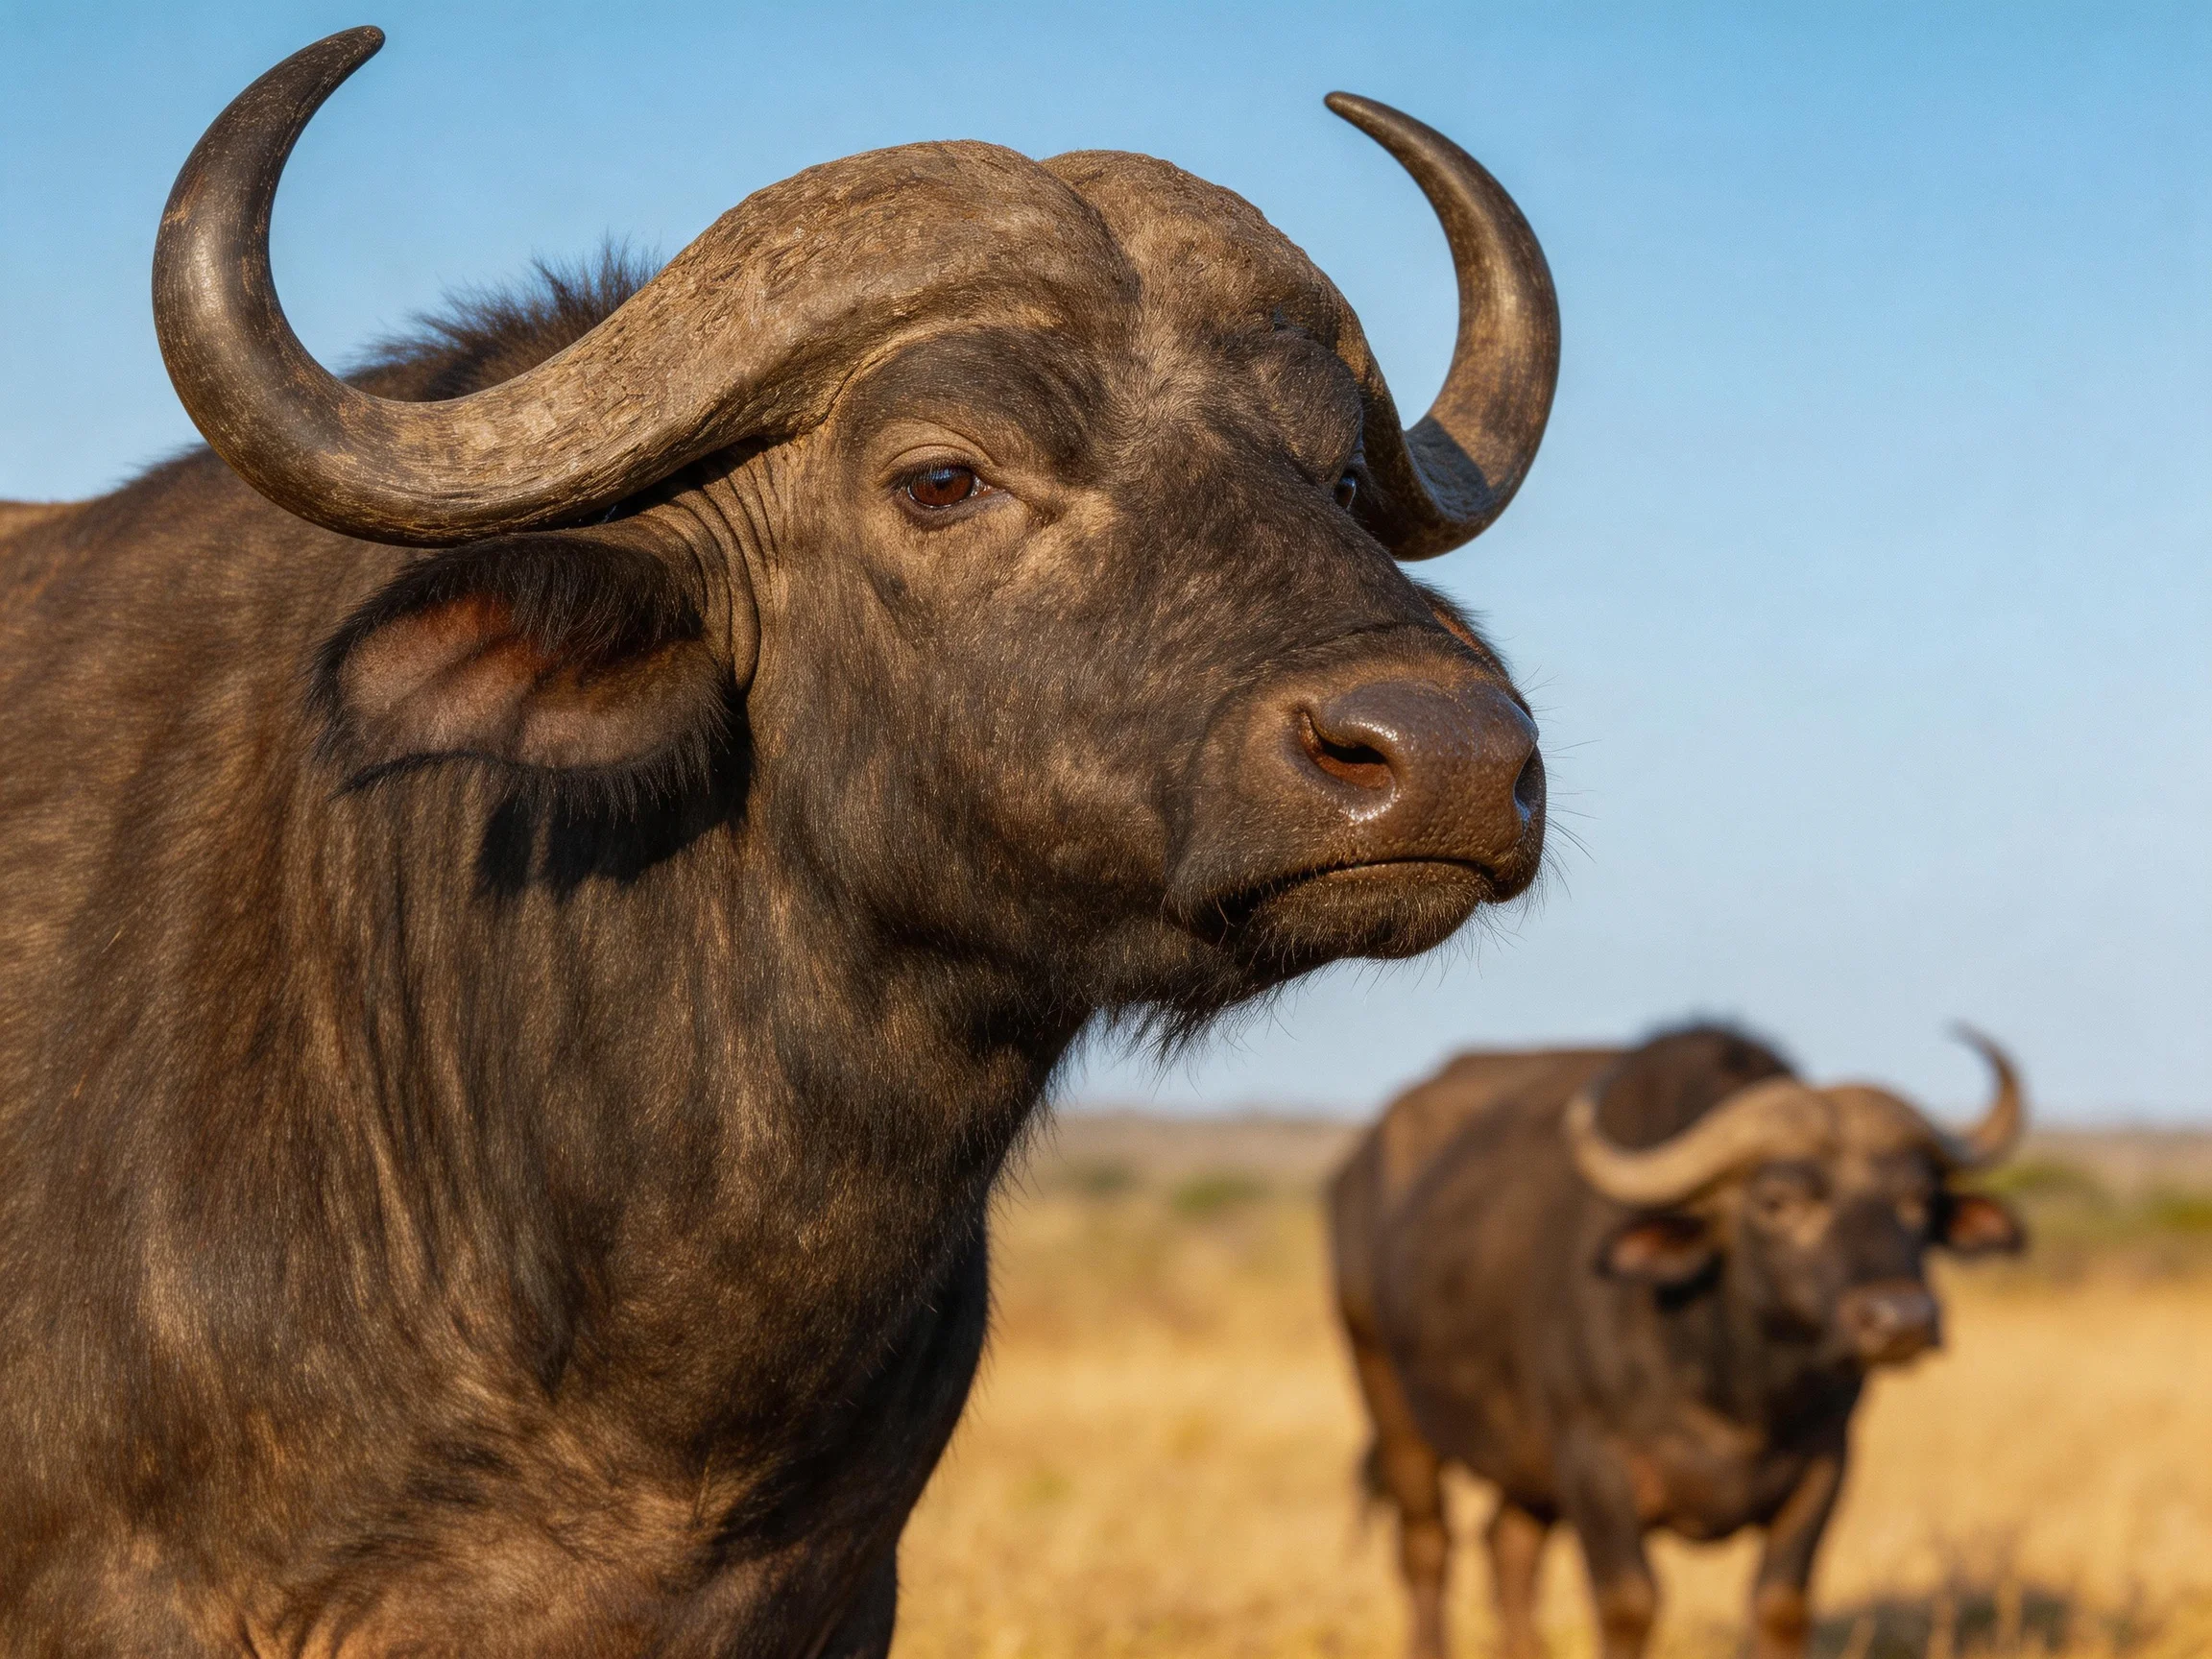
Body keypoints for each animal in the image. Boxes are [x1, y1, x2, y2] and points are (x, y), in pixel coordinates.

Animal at [1331, 1026, 2027, 1659]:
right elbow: (1629, 1604)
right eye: (1777, 1201)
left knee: (1510, 1550)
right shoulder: (1593, 1462)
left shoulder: (1827, 1463)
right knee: (1428, 1546)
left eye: (1918, 1201)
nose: (1901, 1317)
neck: (1731, 1386)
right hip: (1387, 1397)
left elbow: (1781, 1605)